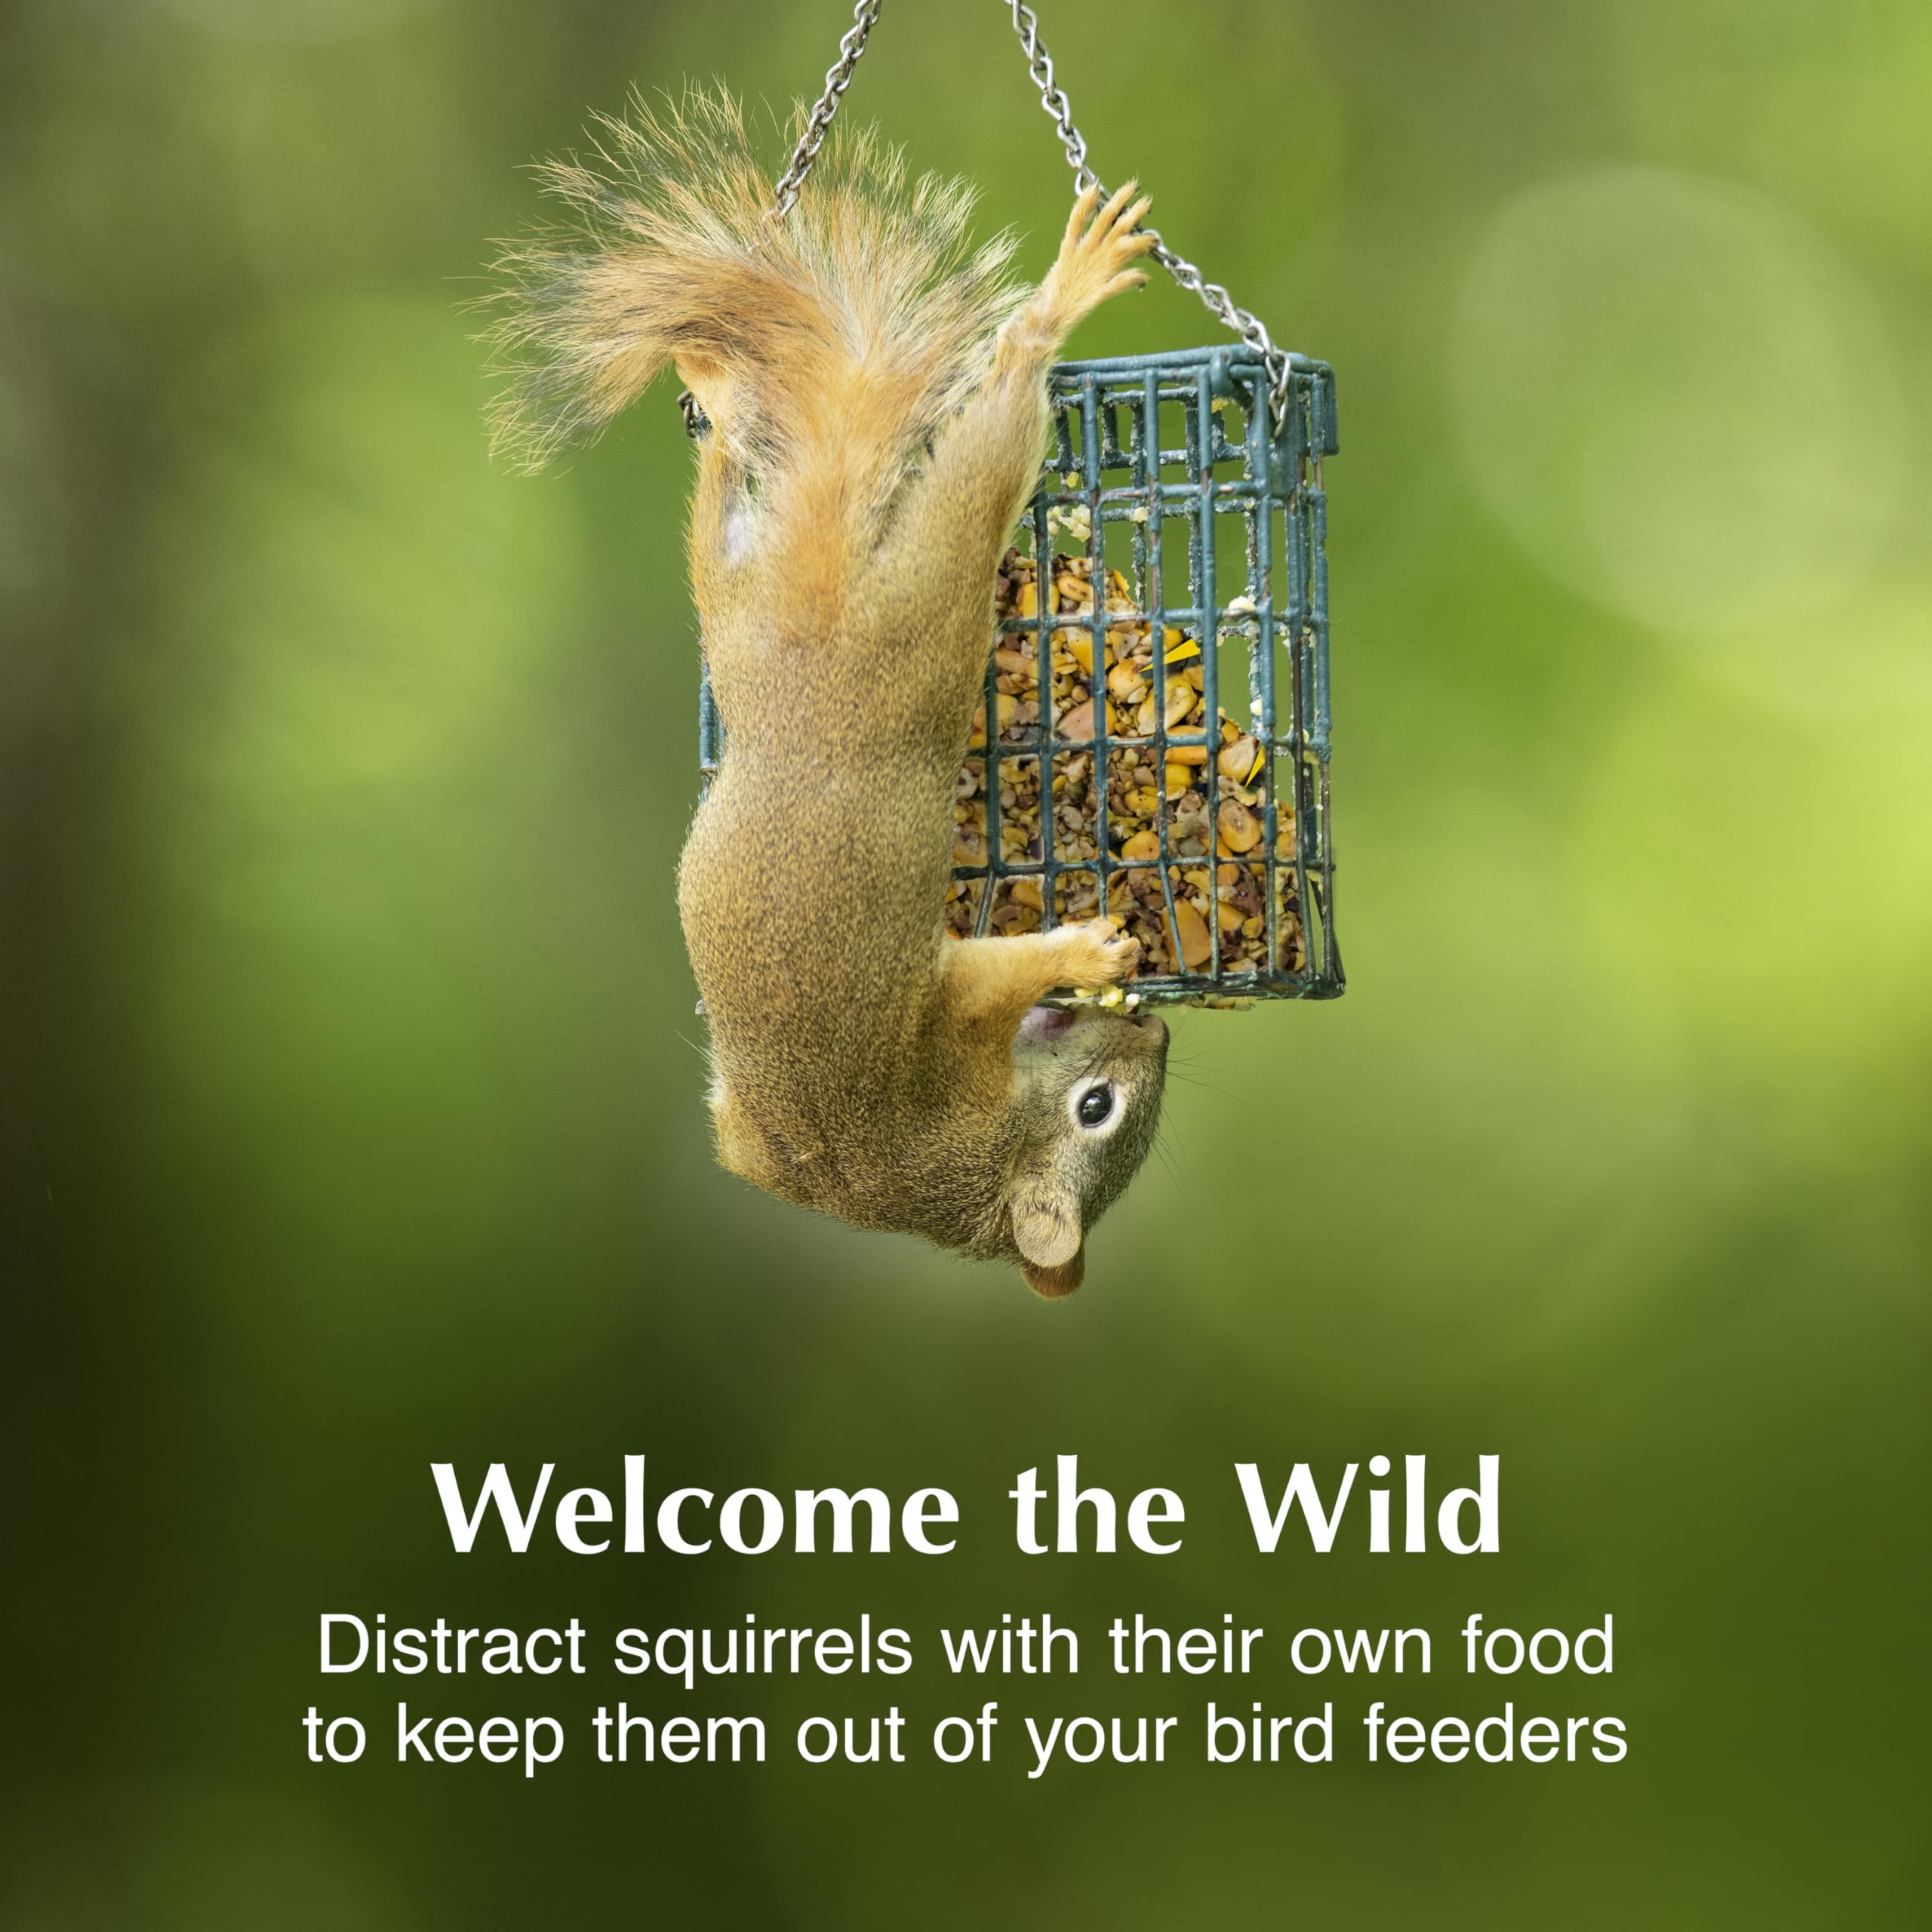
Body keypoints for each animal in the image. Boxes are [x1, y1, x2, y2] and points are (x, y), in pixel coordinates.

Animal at [489, 90, 1169, 1297]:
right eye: (1099, 1109)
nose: (1164, 1037)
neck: (965, 1161)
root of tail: (816, 646)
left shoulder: (757, 1148)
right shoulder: (948, 1018)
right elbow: (995, 972)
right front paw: (1089, 953)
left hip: (734, 610)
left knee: (722, 503)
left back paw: (713, 391)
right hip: (922, 624)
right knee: (991, 439)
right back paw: (1061, 298)